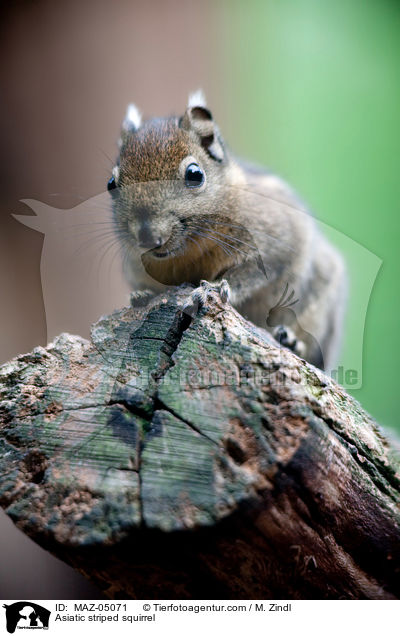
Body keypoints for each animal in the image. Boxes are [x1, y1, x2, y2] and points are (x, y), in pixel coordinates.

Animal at [108, 89, 346, 368]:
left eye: (195, 174)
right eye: (111, 183)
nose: (148, 236)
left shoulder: (278, 243)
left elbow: (251, 273)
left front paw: (210, 288)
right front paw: (141, 295)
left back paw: (292, 341)